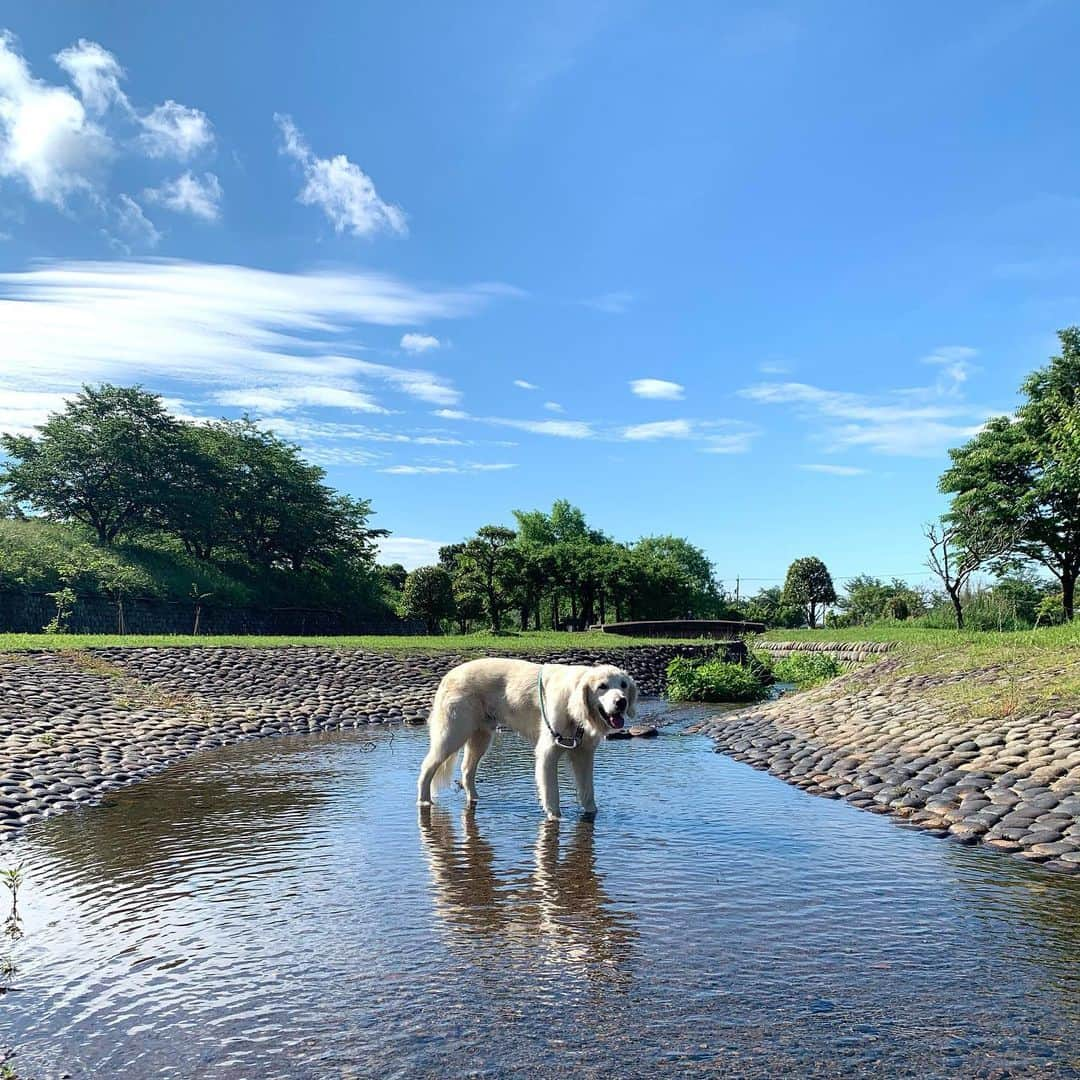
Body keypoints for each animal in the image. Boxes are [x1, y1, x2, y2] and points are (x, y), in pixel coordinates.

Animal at [416, 656, 635, 816]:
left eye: (623, 685)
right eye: (602, 686)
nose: (621, 702)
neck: (575, 707)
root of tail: (448, 675)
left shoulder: (584, 754)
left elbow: (587, 792)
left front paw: (591, 814)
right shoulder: (548, 752)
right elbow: (552, 793)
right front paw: (555, 817)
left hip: (481, 736)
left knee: (467, 769)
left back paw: (475, 798)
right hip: (453, 734)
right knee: (427, 766)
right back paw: (424, 801)